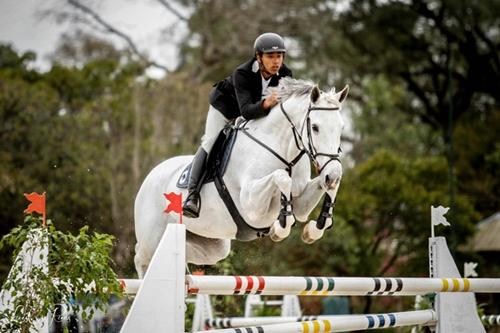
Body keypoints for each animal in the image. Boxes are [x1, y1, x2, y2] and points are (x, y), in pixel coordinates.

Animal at [135, 78, 350, 278]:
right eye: (315, 127)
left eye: (341, 128)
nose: (332, 174)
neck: (282, 148)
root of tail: (150, 176)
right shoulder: (250, 204)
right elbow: (281, 177)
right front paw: (280, 228)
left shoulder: (301, 204)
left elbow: (315, 195)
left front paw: (315, 228)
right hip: (153, 238)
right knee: (141, 257)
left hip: (212, 244)